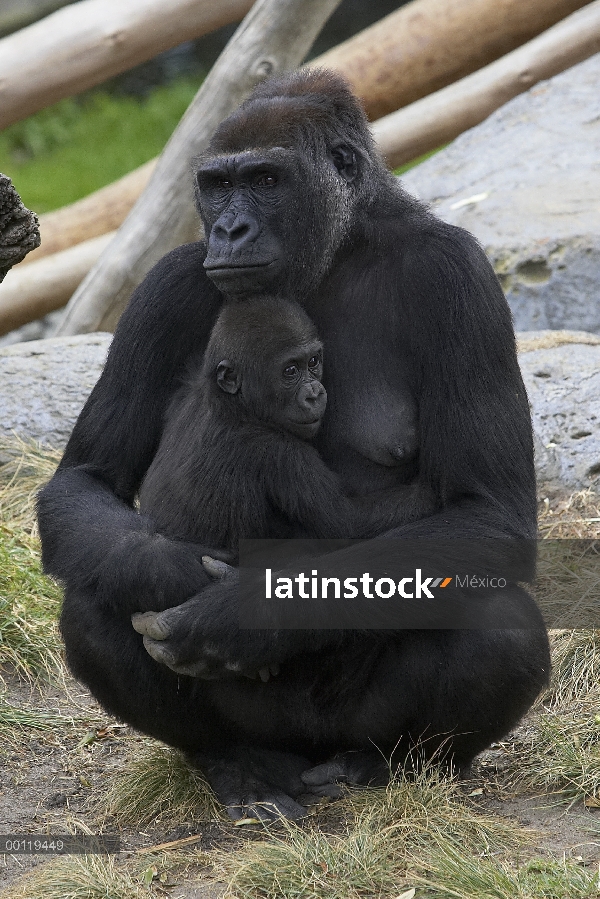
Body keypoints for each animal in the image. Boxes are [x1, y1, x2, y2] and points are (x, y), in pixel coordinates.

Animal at [139, 298, 434, 548]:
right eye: (290, 371)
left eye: (313, 362)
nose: (314, 394)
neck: (229, 403)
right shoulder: (276, 452)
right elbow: (347, 523)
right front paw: (431, 491)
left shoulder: (185, 387)